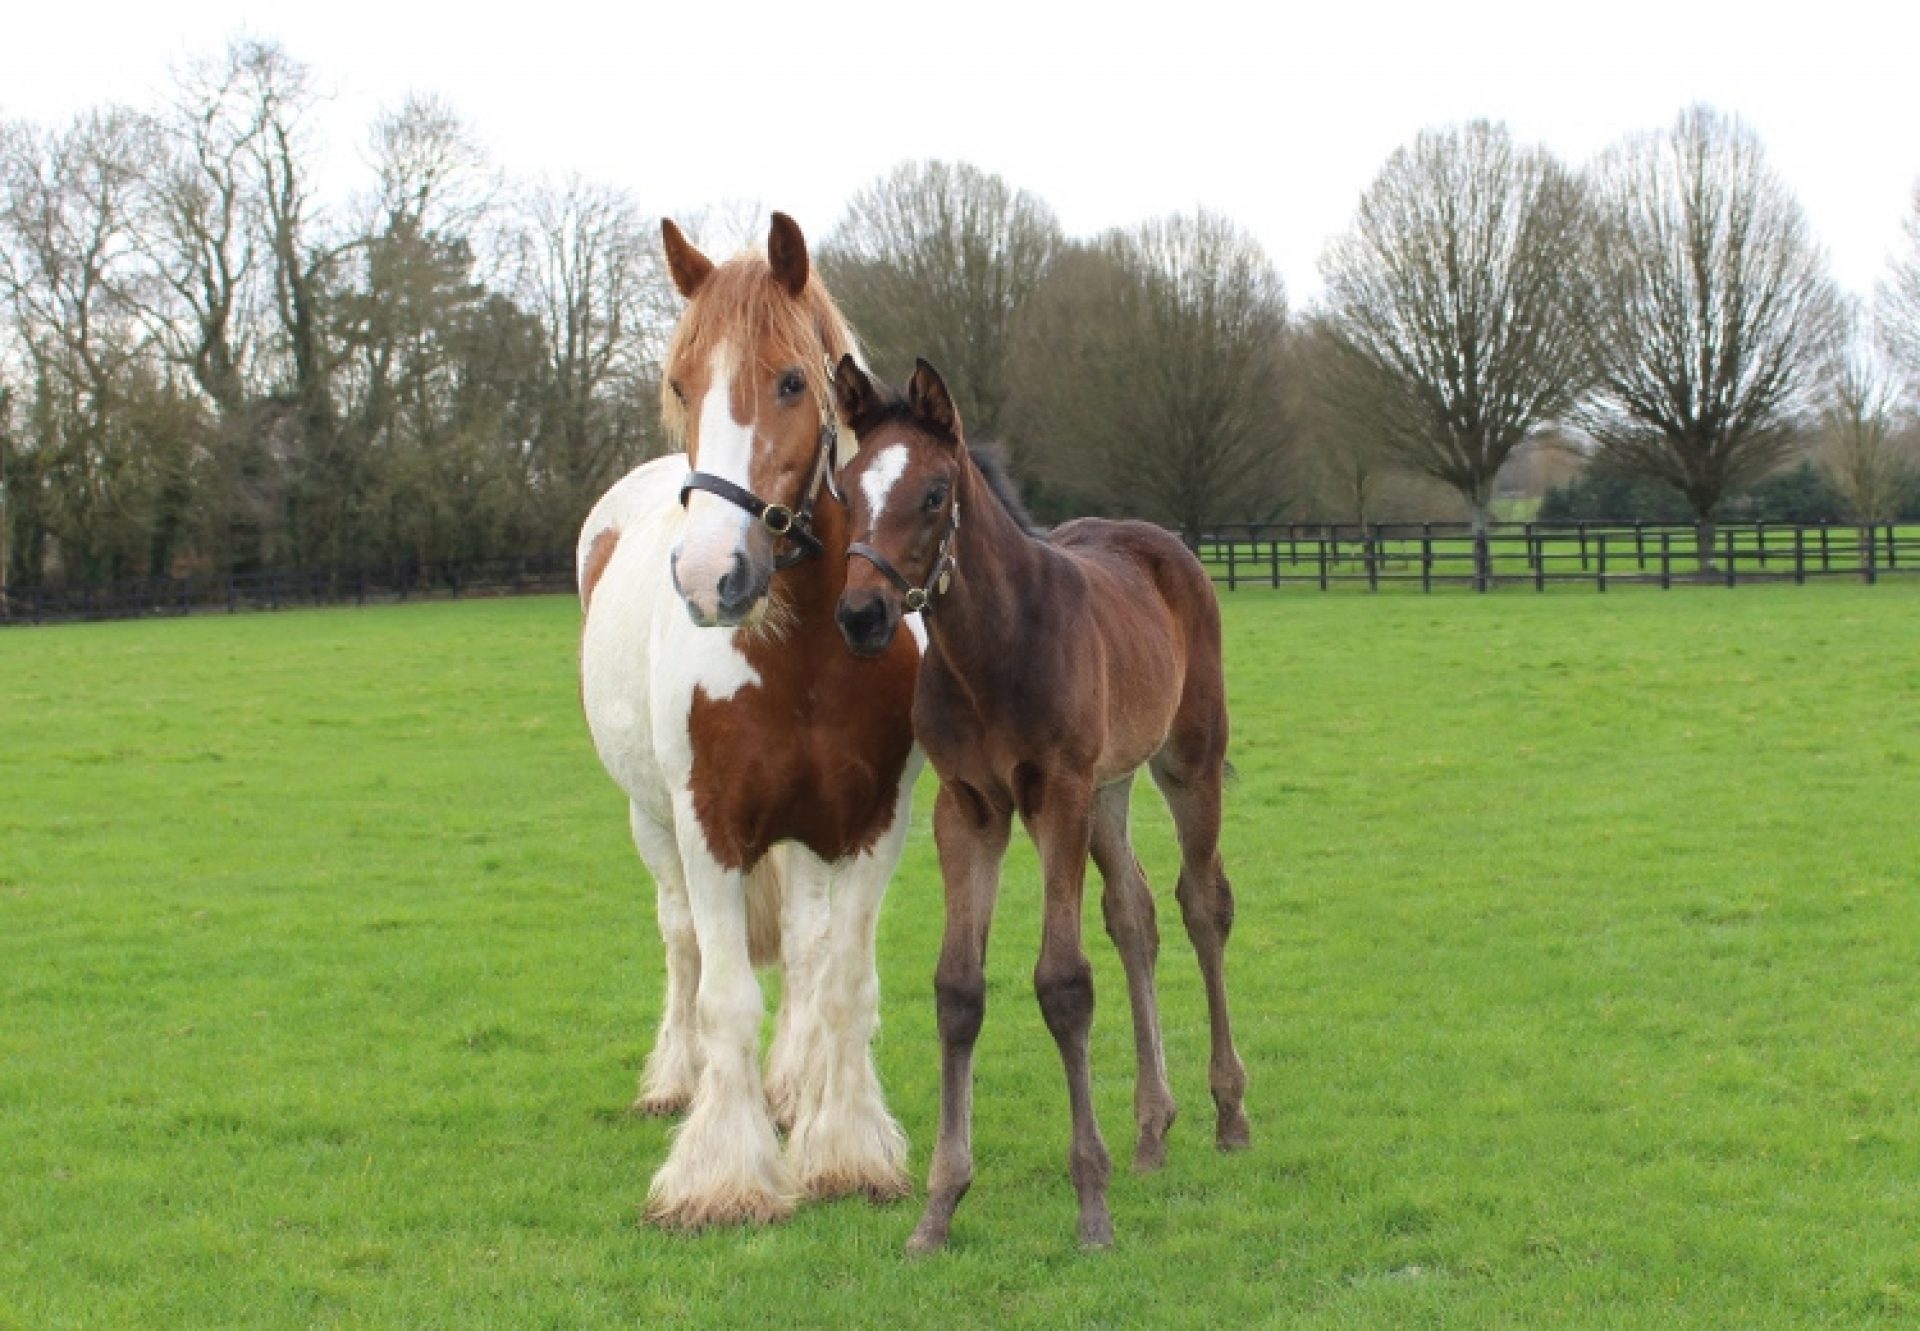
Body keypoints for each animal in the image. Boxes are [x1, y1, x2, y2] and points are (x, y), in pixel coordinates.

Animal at [576, 215, 922, 1228]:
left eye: (792, 380)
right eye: (681, 383)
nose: (708, 575)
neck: (801, 647)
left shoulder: (871, 824)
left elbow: (841, 980)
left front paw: (844, 1148)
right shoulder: (709, 826)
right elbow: (726, 992)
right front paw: (723, 1176)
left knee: (804, 953)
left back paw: (792, 1087)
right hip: (652, 823)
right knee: (683, 942)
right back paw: (677, 1079)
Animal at [827, 356, 1251, 1251]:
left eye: (934, 493)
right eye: (845, 488)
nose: (862, 615)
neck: (995, 646)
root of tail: (1165, 544)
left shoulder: (1055, 793)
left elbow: (1062, 983)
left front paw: (1091, 1203)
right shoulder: (968, 807)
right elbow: (958, 988)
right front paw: (939, 1206)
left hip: (1185, 762)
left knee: (1202, 903)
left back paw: (1229, 1111)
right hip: (1109, 786)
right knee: (1134, 915)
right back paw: (1151, 1130)